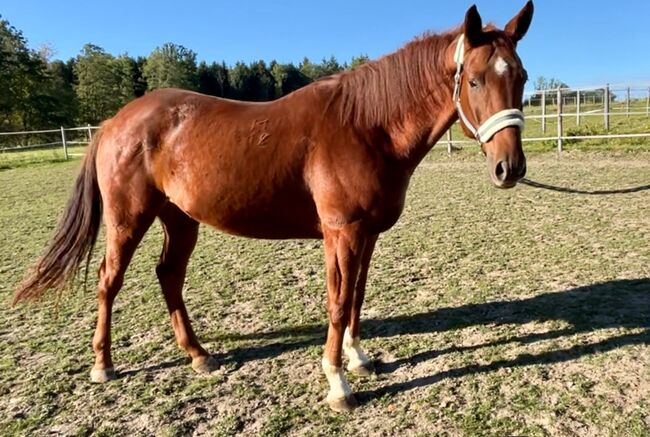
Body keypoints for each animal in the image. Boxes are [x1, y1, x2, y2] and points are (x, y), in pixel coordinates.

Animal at [16, 2, 532, 408]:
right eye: (474, 80)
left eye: (522, 77)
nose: (509, 167)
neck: (366, 126)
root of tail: (112, 122)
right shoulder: (341, 232)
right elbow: (338, 302)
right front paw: (338, 385)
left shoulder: (366, 235)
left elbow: (357, 297)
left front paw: (358, 359)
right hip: (129, 218)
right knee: (110, 281)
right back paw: (103, 365)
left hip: (179, 219)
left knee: (169, 276)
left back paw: (198, 355)